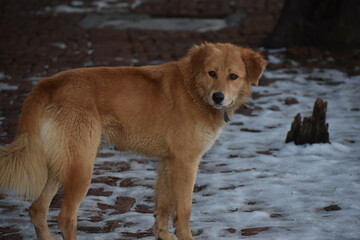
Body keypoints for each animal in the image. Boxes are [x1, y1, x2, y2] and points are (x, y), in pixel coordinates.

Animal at [0, 43, 264, 240]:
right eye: (212, 73)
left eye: (233, 77)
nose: (218, 97)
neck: (194, 90)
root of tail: (49, 83)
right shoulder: (186, 163)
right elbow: (183, 210)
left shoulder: (168, 162)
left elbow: (163, 206)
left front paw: (162, 235)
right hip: (81, 167)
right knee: (64, 218)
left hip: (60, 163)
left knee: (37, 210)